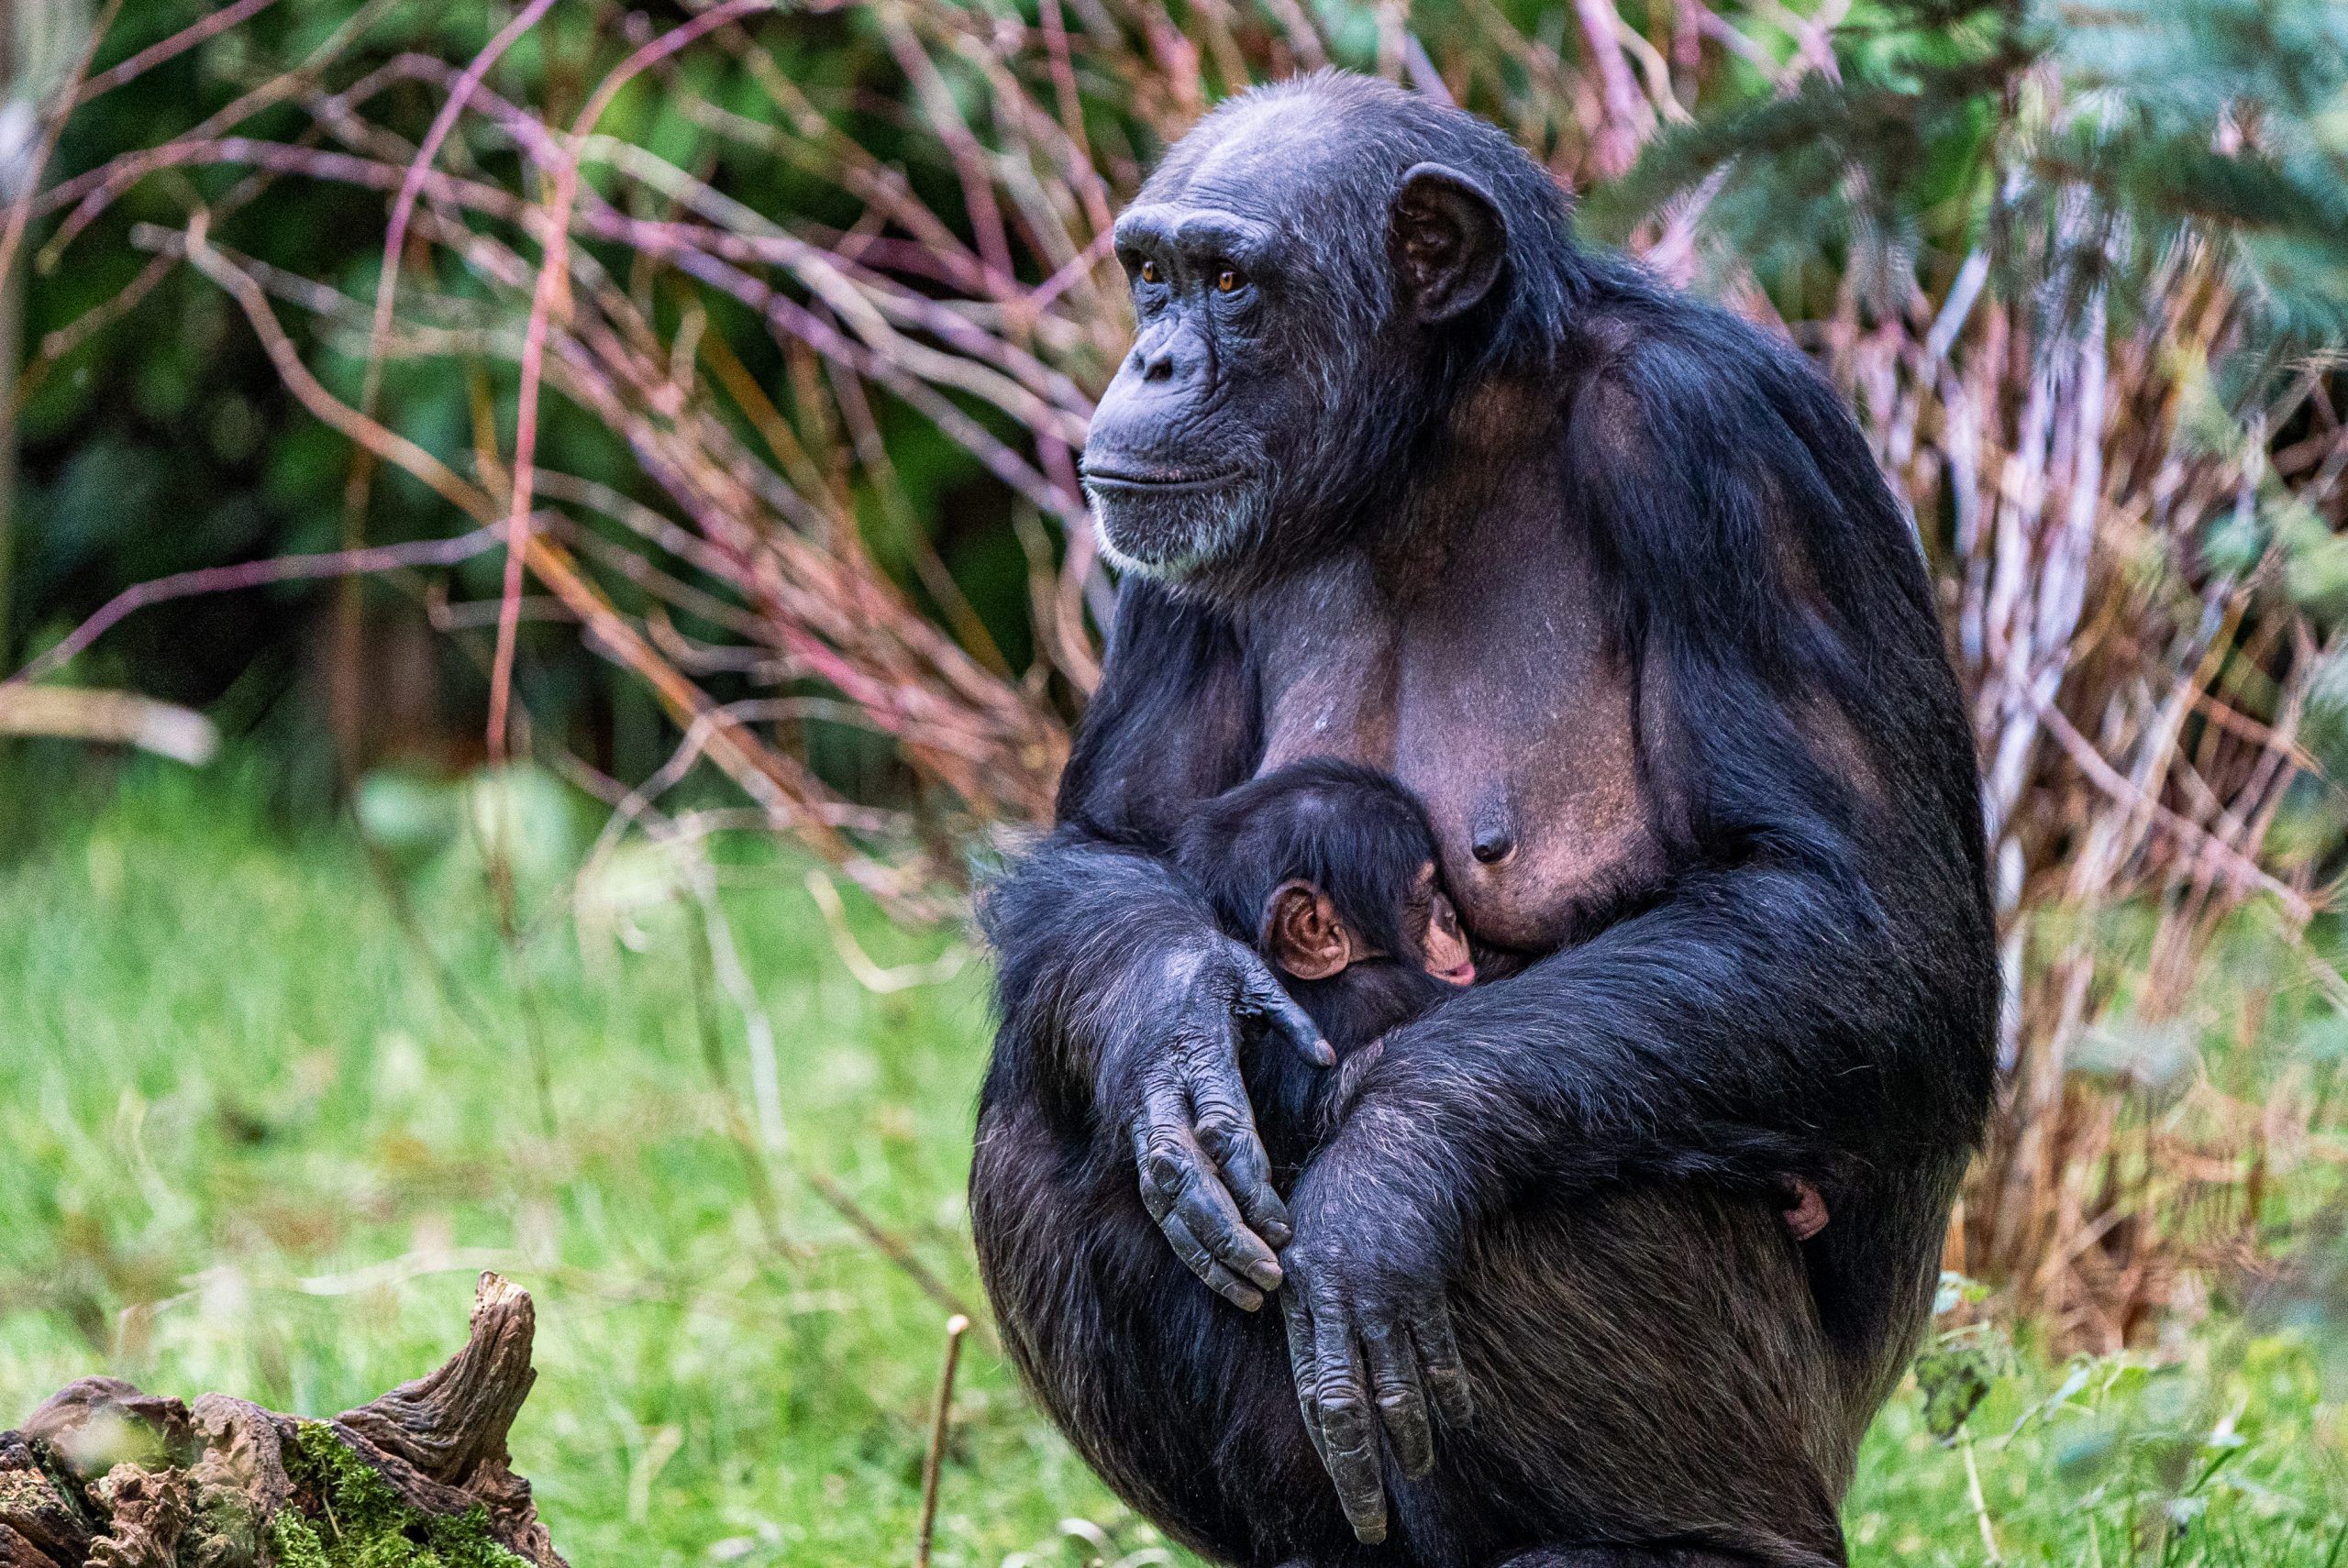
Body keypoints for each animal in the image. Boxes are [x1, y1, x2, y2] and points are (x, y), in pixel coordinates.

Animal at [962, 70, 1990, 1568]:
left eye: (1230, 281)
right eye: (1150, 275)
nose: (1150, 364)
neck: (1431, 453)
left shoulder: (1732, 449)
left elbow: (1860, 919)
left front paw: (1389, 1167)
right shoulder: (1167, 559)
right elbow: (1118, 851)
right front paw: (1170, 1017)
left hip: (1793, 1431)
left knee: (1564, 1164)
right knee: (1046, 1114)